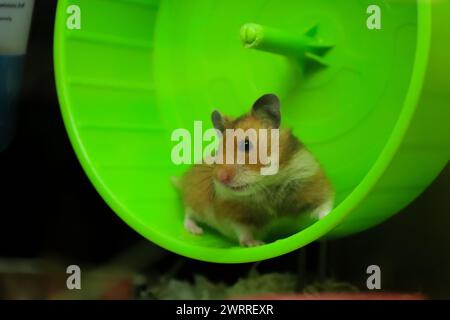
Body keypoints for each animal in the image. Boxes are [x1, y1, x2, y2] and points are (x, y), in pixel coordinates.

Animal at [176, 94, 334, 246]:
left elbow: (324, 206)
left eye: (246, 144)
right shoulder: (233, 213)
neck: (267, 185)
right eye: (218, 151)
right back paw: (196, 231)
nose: (220, 177)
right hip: (195, 200)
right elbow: (243, 231)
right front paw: (256, 244)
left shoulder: (311, 183)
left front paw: (329, 220)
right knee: (188, 215)